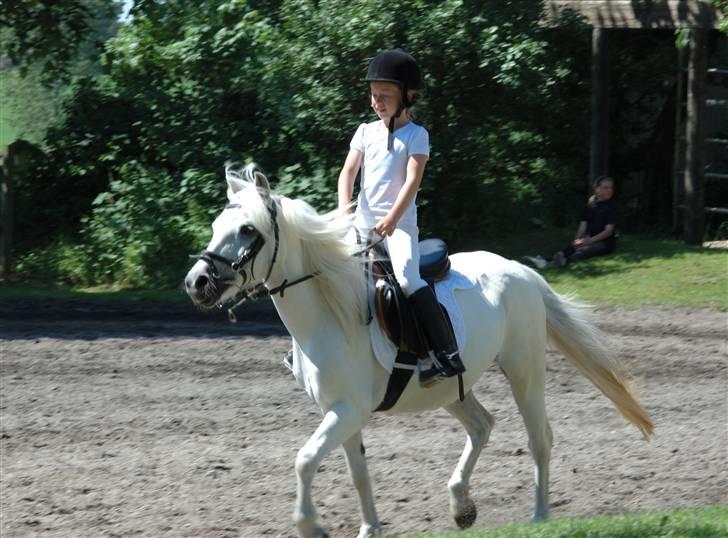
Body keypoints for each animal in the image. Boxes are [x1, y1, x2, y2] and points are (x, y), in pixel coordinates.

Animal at [186, 164, 656, 536]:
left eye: (248, 230)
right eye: (215, 226)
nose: (197, 282)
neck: (328, 313)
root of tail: (520, 271)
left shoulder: (347, 410)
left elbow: (304, 460)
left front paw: (311, 527)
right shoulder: (341, 412)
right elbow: (357, 473)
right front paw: (369, 529)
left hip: (524, 370)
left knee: (539, 438)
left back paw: (538, 517)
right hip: (450, 389)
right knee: (482, 425)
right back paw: (461, 506)